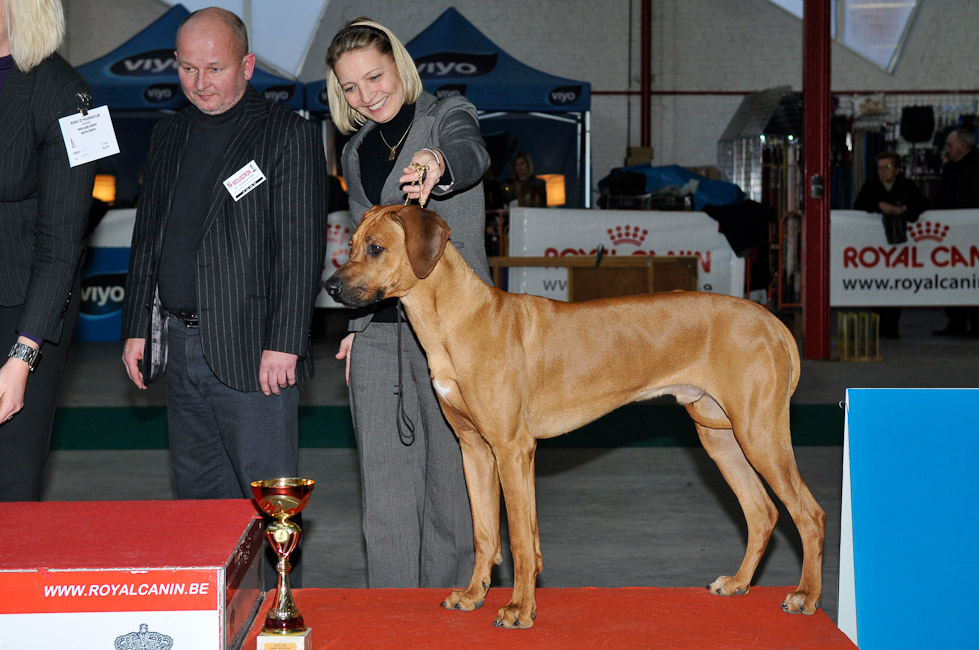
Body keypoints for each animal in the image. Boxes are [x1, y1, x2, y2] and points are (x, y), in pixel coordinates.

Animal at [328, 204, 828, 628]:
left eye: (376, 248)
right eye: (349, 244)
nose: (330, 287)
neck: (456, 320)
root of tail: (768, 319)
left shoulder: (512, 449)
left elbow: (520, 541)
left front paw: (518, 610)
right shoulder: (475, 449)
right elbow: (486, 534)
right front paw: (474, 595)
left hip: (759, 432)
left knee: (809, 513)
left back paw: (805, 596)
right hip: (719, 435)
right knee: (762, 512)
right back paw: (739, 583)